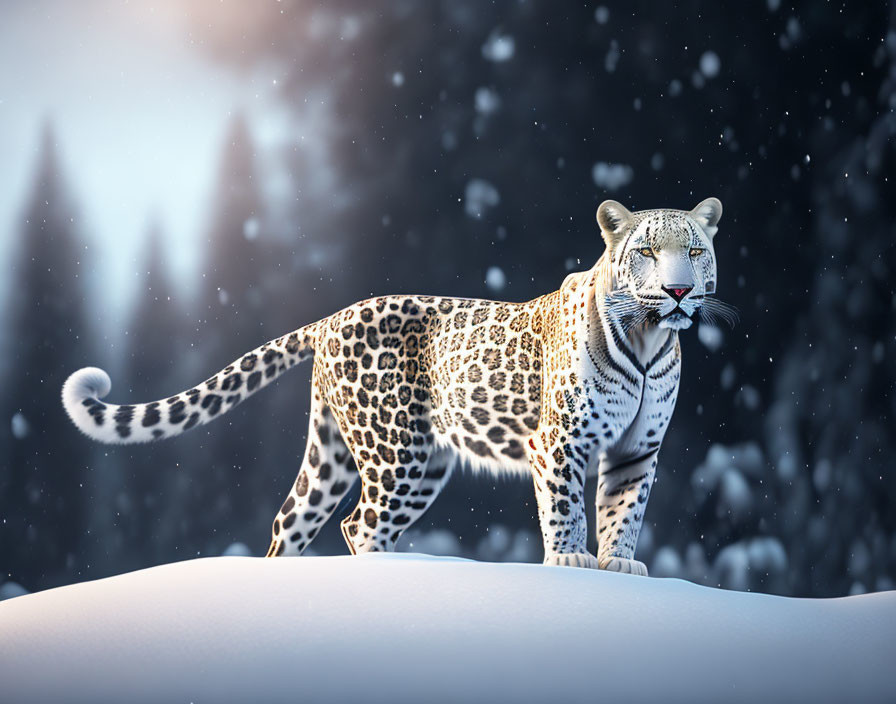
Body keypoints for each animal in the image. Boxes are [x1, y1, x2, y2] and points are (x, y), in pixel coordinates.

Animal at [65, 197, 736, 572]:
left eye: (695, 251)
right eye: (646, 251)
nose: (678, 290)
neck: (649, 337)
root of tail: (332, 316)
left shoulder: (637, 450)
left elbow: (624, 510)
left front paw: (618, 564)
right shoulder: (560, 442)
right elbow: (566, 506)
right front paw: (570, 560)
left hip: (346, 455)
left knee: (294, 520)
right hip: (398, 454)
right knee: (359, 525)